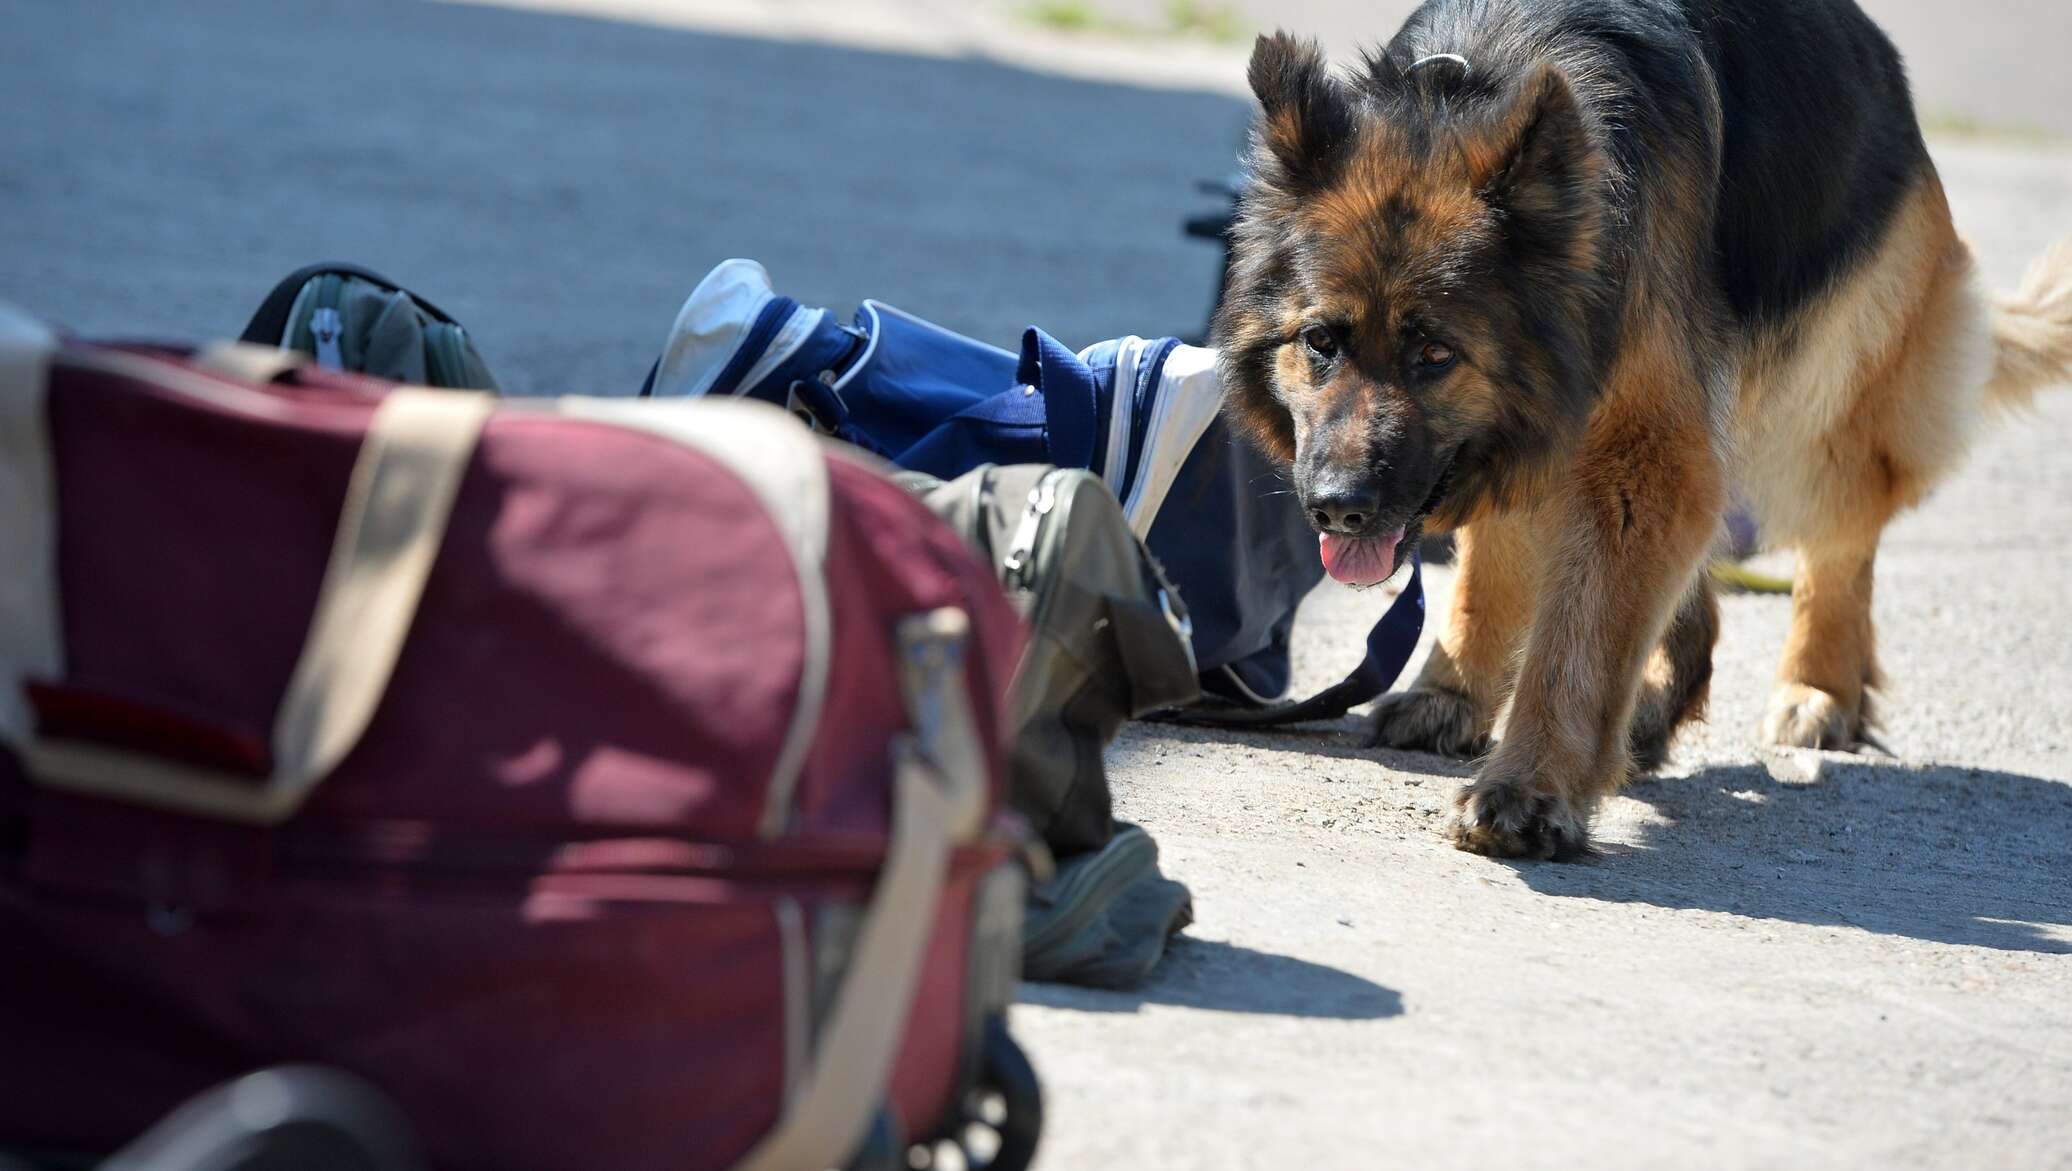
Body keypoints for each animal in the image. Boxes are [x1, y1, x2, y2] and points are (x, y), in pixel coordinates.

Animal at [1210, 0, 2072, 858]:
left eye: (1434, 354)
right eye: (1321, 341)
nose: (1337, 507)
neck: (1461, 93)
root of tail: (1876, 56)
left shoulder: (1631, 450)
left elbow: (1578, 639)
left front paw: (1532, 782)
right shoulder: (1527, 433)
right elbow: (1495, 574)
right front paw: (1451, 690)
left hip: (1822, 398)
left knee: (1842, 533)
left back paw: (1818, 685)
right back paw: (1655, 699)